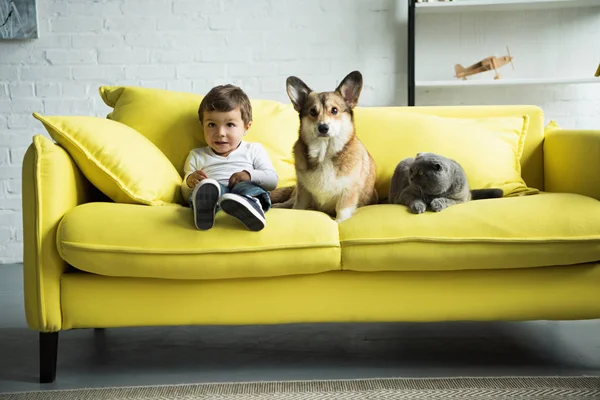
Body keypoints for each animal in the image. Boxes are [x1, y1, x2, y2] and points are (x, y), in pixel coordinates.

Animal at [274, 70, 380, 223]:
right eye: (313, 111)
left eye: (334, 110)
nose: (323, 128)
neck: (324, 153)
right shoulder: (303, 191)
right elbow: (298, 208)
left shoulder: (348, 192)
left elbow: (342, 211)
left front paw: (339, 222)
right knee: (288, 202)